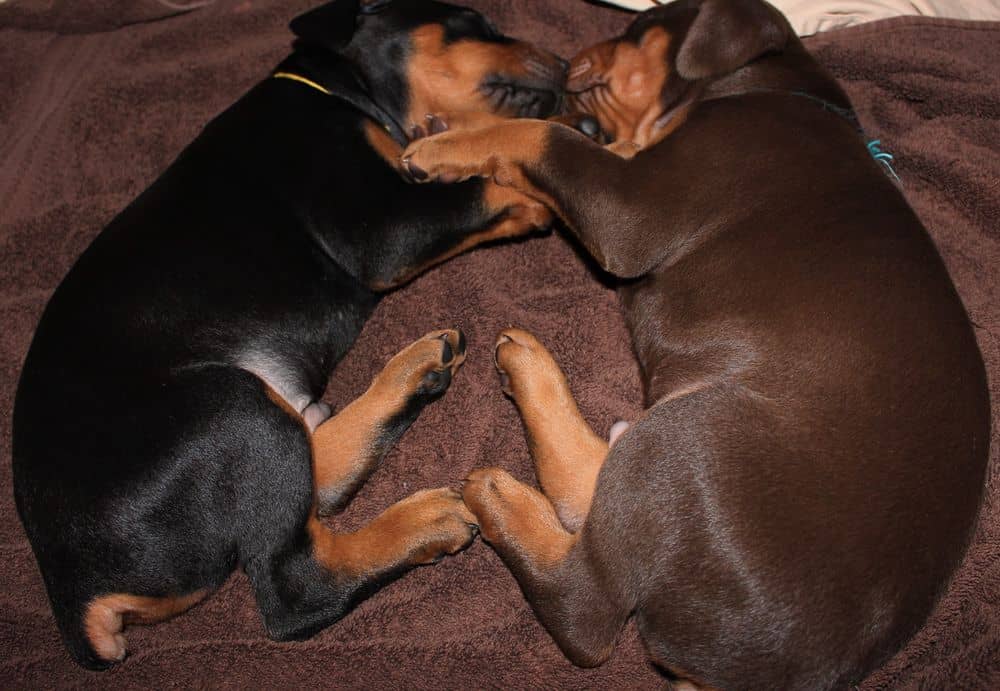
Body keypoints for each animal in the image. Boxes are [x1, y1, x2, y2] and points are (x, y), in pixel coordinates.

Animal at [11, 0, 572, 672]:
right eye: (470, 21)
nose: (566, 63)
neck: (336, 89)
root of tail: (75, 592)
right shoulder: (379, 226)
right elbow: (481, 188)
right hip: (228, 405)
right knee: (295, 588)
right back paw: (422, 520)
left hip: (250, 419)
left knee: (316, 484)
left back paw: (413, 371)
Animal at [398, 0, 992, 688]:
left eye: (639, 24)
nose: (568, 60)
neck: (762, 85)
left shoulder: (630, 209)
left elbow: (545, 136)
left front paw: (440, 145)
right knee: (592, 497)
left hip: (693, 436)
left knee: (587, 608)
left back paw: (504, 470)